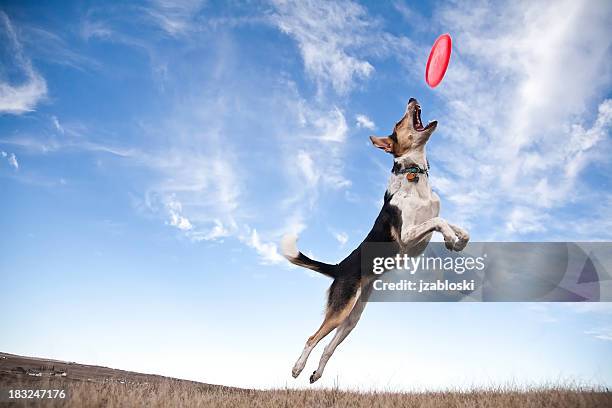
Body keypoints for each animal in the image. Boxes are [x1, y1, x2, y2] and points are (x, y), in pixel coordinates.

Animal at [280, 98, 468, 382]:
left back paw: (316, 374)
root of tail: (340, 268)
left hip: (352, 318)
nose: (412, 99)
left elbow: (450, 223)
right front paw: (449, 237)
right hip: (341, 309)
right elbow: (439, 221)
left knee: (328, 347)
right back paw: (297, 368)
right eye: (398, 122)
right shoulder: (407, 237)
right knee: (312, 338)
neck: (414, 175)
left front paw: (458, 240)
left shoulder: (420, 239)